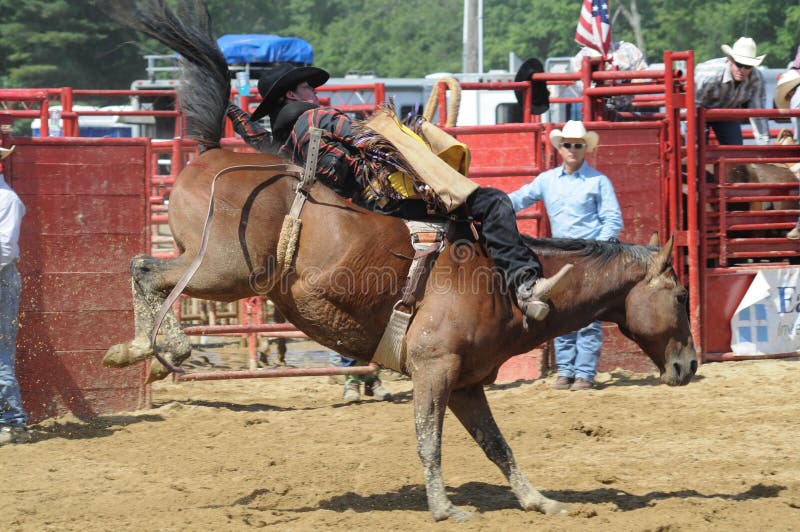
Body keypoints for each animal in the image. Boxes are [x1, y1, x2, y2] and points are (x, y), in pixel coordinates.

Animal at [103, 0, 696, 520]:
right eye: (681, 295)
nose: (689, 366)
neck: (496, 283)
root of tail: (207, 153)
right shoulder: (434, 368)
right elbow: (428, 440)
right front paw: (444, 508)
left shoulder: (467, 383)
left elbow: (497, 446)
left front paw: (538, 500)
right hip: (227, 270)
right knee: (146, 270)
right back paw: (156, 347)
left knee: (147, 272)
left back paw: (148, 349)